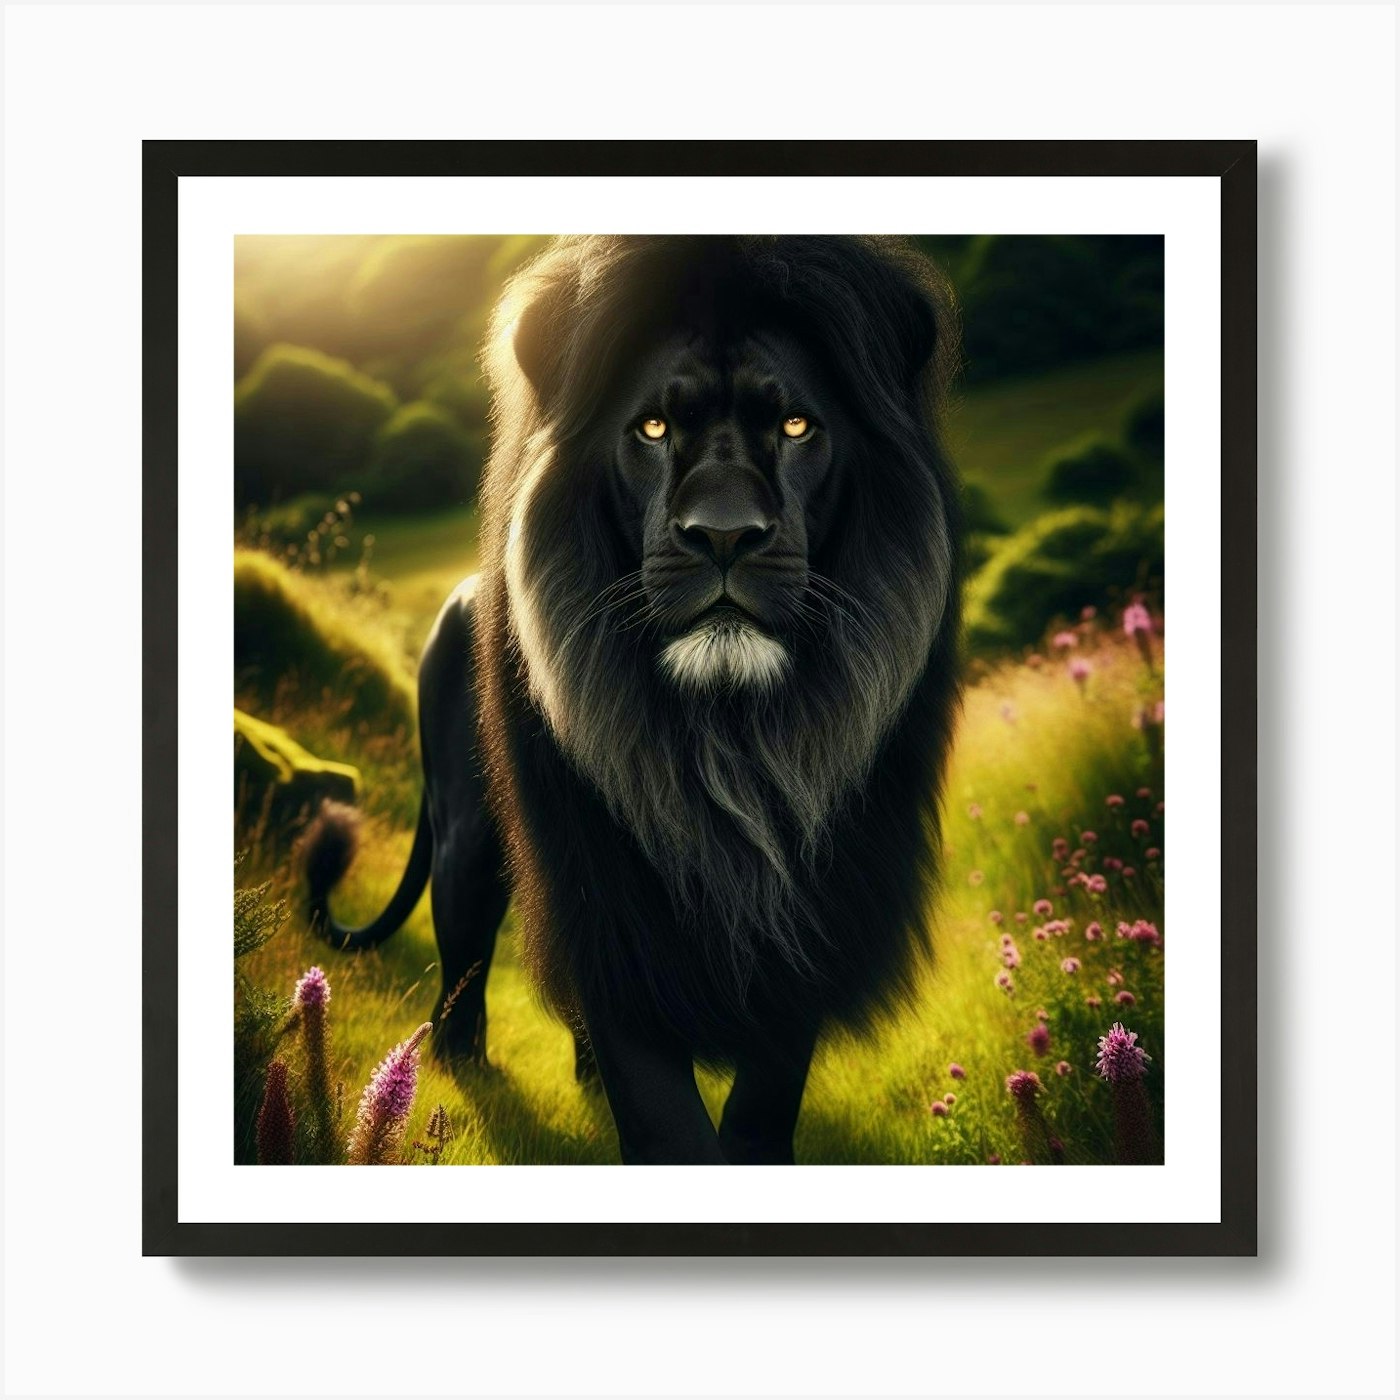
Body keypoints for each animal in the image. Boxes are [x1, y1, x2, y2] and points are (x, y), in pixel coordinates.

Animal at [304, 235, 963, 1164]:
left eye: (795, 426)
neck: (725, 740)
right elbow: (659, 1105)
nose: (723, 534)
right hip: (469, 837)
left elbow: (764, 1092)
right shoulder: (602, 884)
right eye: (652, 428)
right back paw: (455, 1075)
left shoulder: (811, 903)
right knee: (461, 971)